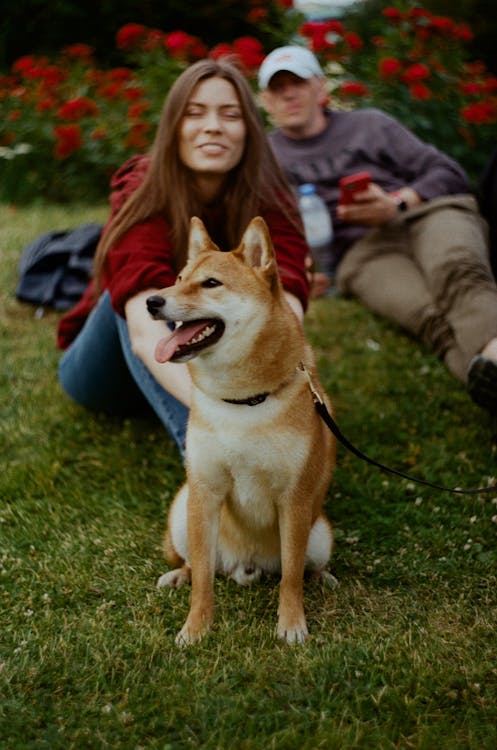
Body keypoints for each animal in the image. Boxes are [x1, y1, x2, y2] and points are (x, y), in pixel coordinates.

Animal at [145, 217, 336, 648]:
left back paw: (322, 577)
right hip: (183, 511)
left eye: (211, 283)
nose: (152, 302)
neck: (242, 401)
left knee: (302, 568)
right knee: (197, 564)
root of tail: (244, 566)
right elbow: (203, 580)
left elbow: (291, 577)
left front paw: (291, 624)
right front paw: (196, 629)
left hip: (319, 534)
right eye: (178, 279)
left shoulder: (294, 500)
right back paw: (178, 574)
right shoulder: (205, 491)